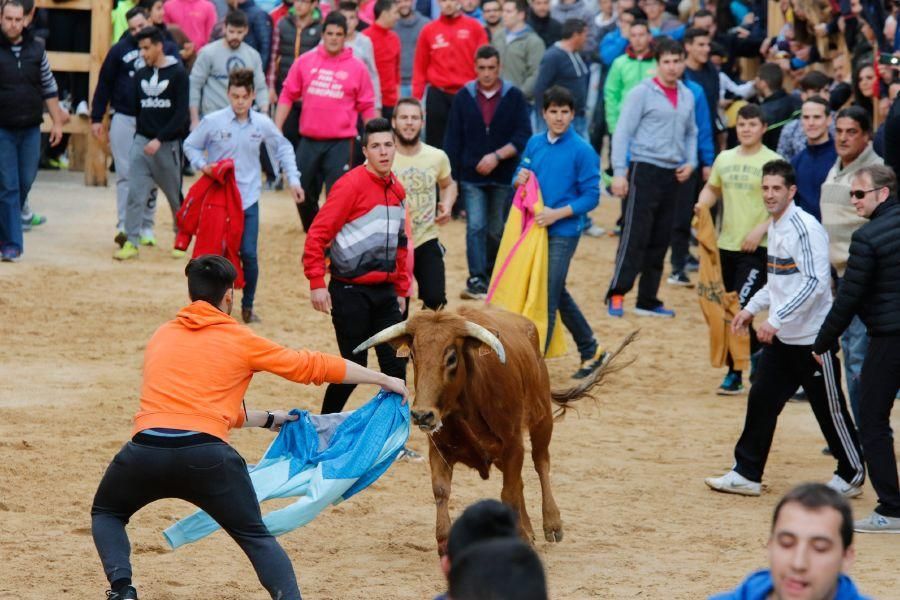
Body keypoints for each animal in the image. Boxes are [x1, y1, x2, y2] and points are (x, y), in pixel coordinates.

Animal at [352, 304, 632, 552]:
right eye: (412, 355)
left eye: (451, 357)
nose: (422, 414)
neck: (466, 408)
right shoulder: (439, 450)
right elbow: (442, 491)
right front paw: (443, 541)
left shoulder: (513, 445)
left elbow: (509, 492)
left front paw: (523, 535)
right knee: (521, 480)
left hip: (542, 419)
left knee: (541, 463)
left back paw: (551, 523)